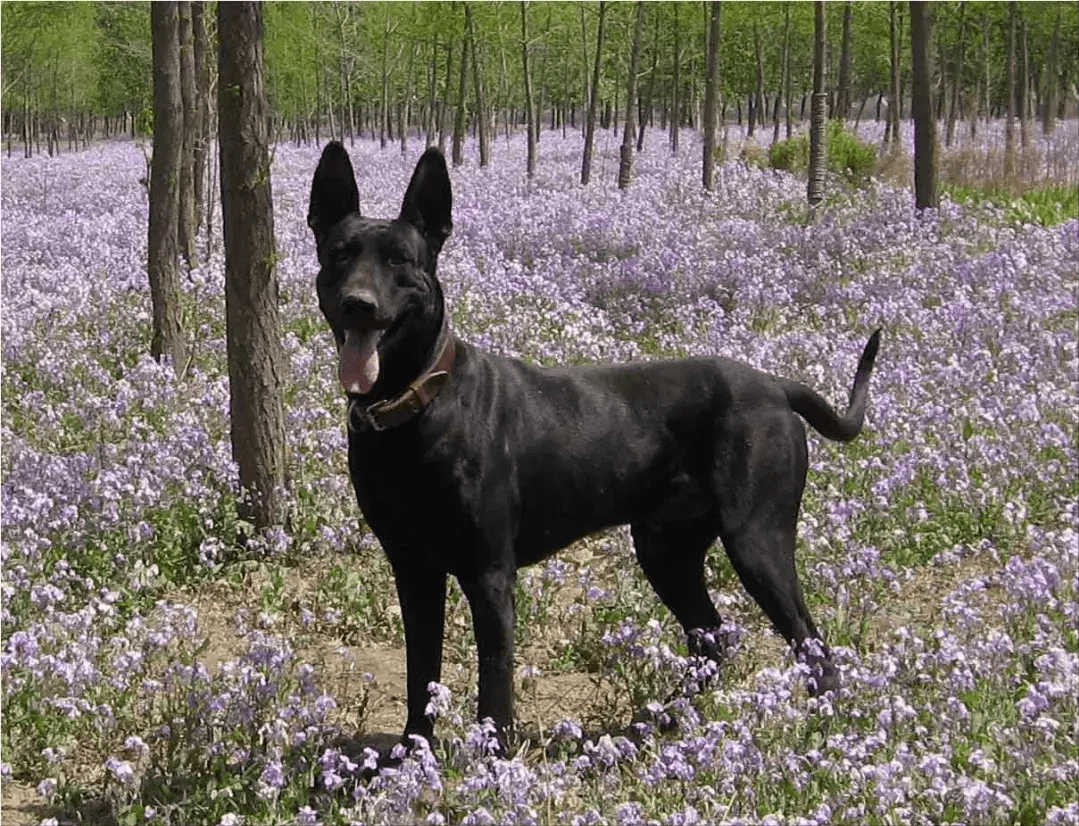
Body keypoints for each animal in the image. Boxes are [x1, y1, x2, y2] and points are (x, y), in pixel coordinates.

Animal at [308, 142, 880, 750]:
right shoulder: (413, 567)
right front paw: (413, 753)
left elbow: (495, 680)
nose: (359, 304)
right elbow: (421, 673)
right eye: (340, 254)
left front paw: (493, 760)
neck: (415, 401)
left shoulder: (490, 573)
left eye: (400, 261)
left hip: (756, 539)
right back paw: (664, 722)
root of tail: (774, 384)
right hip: (665, 548)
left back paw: (825, 735)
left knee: (811, 644)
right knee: (711, 637)